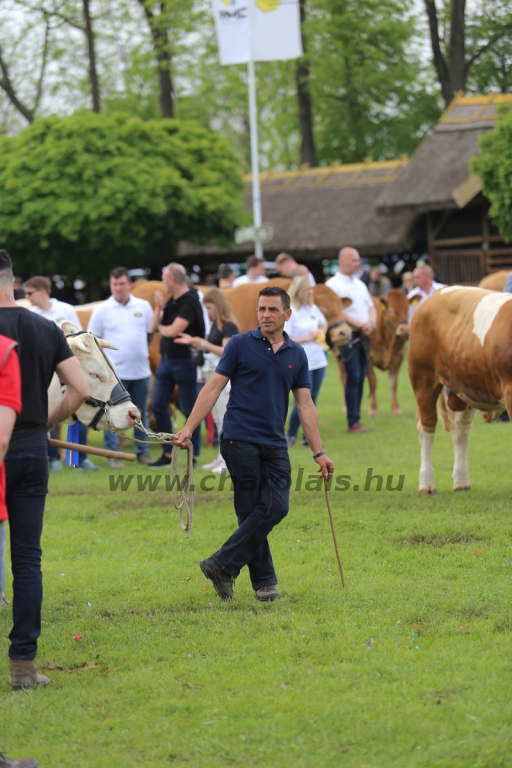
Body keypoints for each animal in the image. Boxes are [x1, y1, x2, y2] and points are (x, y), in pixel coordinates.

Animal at [410, 284, 512, 496]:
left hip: (463, 387)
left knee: (461, 432)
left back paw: (461, 481)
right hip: (423, 378)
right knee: (426, 428)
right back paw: (426, 484)